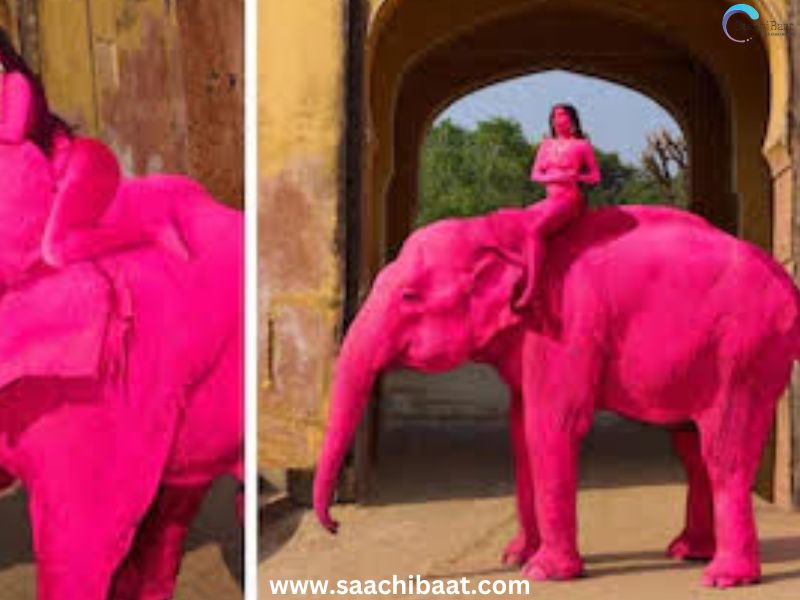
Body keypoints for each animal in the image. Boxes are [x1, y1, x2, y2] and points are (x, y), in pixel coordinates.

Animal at [313, 202, 800, 588]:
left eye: (409, 296)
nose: (335, 525)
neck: (498, 232)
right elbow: (520, 430)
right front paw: (515, 556)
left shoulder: (565, 330)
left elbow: (551, 424)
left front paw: (544, 572)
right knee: (691, 446)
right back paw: (687, 552)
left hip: (745, 351)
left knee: (723, 450)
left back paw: (723, 577)